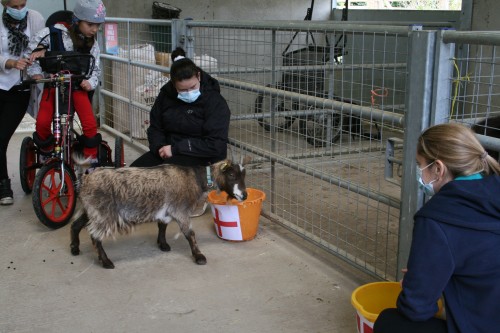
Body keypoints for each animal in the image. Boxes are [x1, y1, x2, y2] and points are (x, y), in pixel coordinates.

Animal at [70, 157, 250, 268]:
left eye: (243, 175)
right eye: (231, 174)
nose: (244, 196)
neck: (195, 178)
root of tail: (84, 180)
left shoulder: (166, 209)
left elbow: (162, 226)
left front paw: (163, 244)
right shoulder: (180, 209)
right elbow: (190, 234)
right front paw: (199, 256)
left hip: (90, 209)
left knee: (76, 225)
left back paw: (74, 248)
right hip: (103, 212)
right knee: (95, 236)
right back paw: (106, 261)